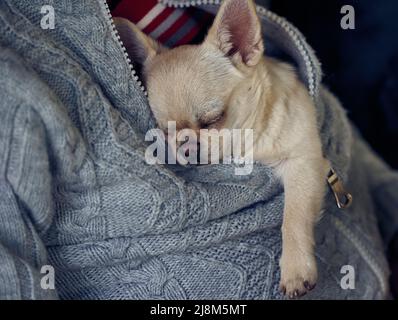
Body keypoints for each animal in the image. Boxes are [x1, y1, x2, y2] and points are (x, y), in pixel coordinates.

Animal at [114, 0, 330, 298]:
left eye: (213, 119)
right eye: (165, 131)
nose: (186, 147)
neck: (247, 141)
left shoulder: (303, 161)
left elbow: (294, 217)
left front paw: (296, 268)